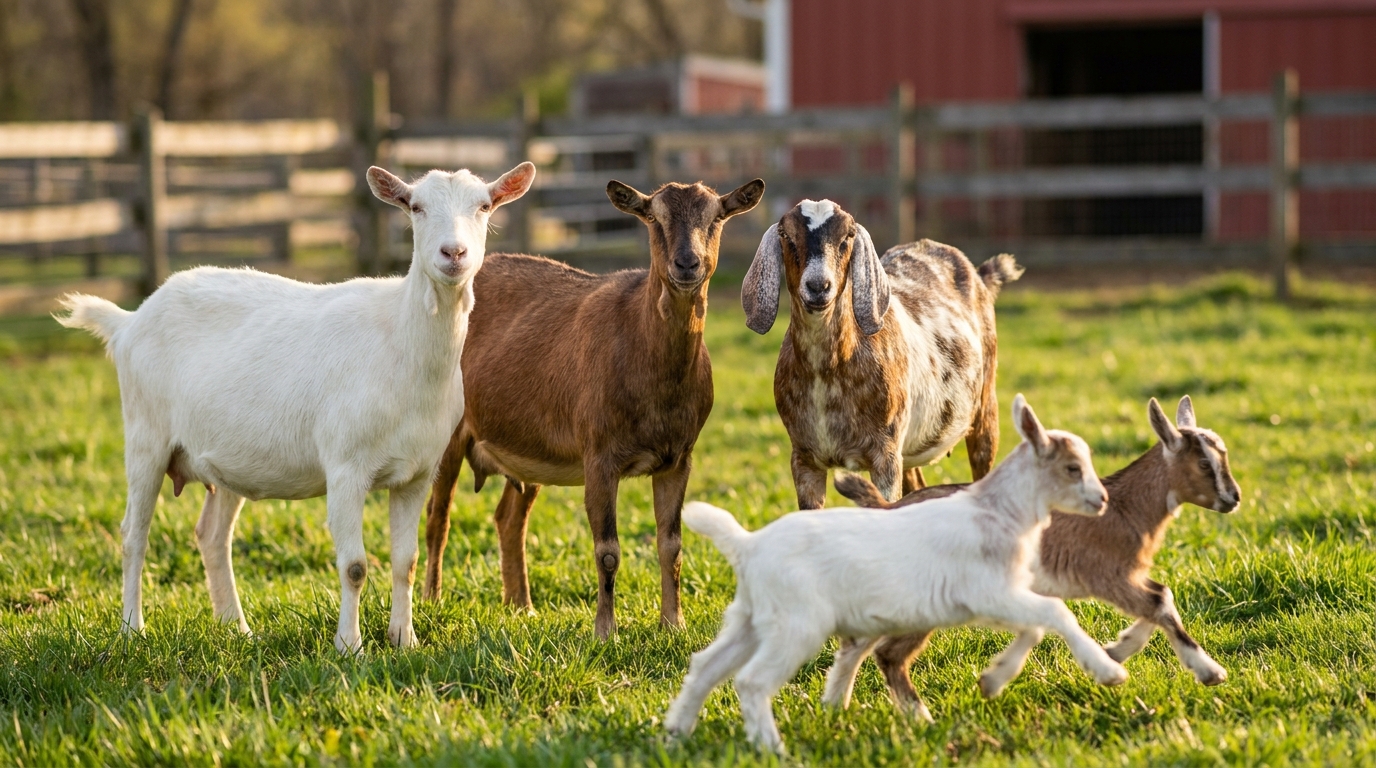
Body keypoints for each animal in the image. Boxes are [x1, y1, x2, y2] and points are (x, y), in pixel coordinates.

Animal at [55, 162, 535, 653]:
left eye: (484, 206)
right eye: (416, 207)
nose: (453, 252)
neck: (402, 345)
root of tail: (129, 321)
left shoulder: (417, 474)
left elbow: (407, 561)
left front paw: (405, 641)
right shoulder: (345, 467)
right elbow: (355, 566)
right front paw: (350, 647)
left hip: (224, 458)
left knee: (211, 536)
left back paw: (237, 628)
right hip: (145, 434)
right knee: (133, 534)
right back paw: (132, 629)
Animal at [421, 178, 766, 639]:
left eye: (716, 217)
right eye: (653, 217)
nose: (687, 263)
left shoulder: (678, 457)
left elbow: (671, 545)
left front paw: (673, 624)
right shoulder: (599, 454)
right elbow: (607, 550)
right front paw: (605, 631)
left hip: (530, 448)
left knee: (509, 518)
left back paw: (522, 607)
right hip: (450, 432)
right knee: (437, 517)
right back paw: (432, 599)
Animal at [665, 395, 1125, 753]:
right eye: (1072, 468)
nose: (1102, 500)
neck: (999, 510)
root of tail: (747, 545)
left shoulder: (993, 598)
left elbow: (1034, 626)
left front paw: (994, 679)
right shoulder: (990, 590)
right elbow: (1054, 613)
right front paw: (1108, 671)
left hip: (752, 618)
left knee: (706, 665)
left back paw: (677, 732)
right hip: (796, 624)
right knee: (752, 682)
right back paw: (772, 748)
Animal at [742, 199, 1022, 509]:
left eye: (847, 237)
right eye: (787, 236)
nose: (818, 286)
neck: (825, 372)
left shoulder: (885, 456)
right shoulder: (804, 459)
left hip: (985, 408)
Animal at [830, 395, 1240, 711]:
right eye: (1205, 463)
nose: (1234, 498)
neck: (1128, 507)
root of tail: (888, 509)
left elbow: (1160, 597)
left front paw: (1115, 649)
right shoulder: (1108, 575)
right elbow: (1159, 604)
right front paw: (1209, 671)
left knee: (860, 644)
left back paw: (838, 709)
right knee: (879, 648)